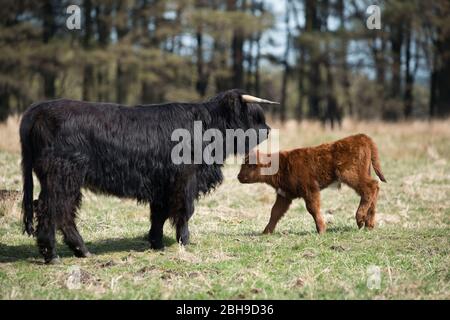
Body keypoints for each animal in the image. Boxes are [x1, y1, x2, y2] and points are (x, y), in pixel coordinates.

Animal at [20, 89, 274, 262]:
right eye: (255, 117)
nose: (269, 130)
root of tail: (39, 109)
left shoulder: (162, 184)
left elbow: (158, 215)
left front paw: (156, 243)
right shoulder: (185, 180)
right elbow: (185, 211)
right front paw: (184, 241)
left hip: (58, 178)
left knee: (59, 210)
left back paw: (76, 250)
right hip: (63, 174)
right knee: (53, 209)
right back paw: (55, 253)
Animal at [239, 134, 386, 234]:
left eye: (249, 165)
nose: (238, 176)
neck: (282, 165)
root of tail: (361, 137)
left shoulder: (310, 189)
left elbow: (312, 209)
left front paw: (321, 229)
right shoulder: (284, 195)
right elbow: (275, 212)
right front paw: (266, 231)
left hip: (351, 175)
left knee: (370, 188)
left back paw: (360, 219)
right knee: (374, 189)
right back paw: (369, 224)